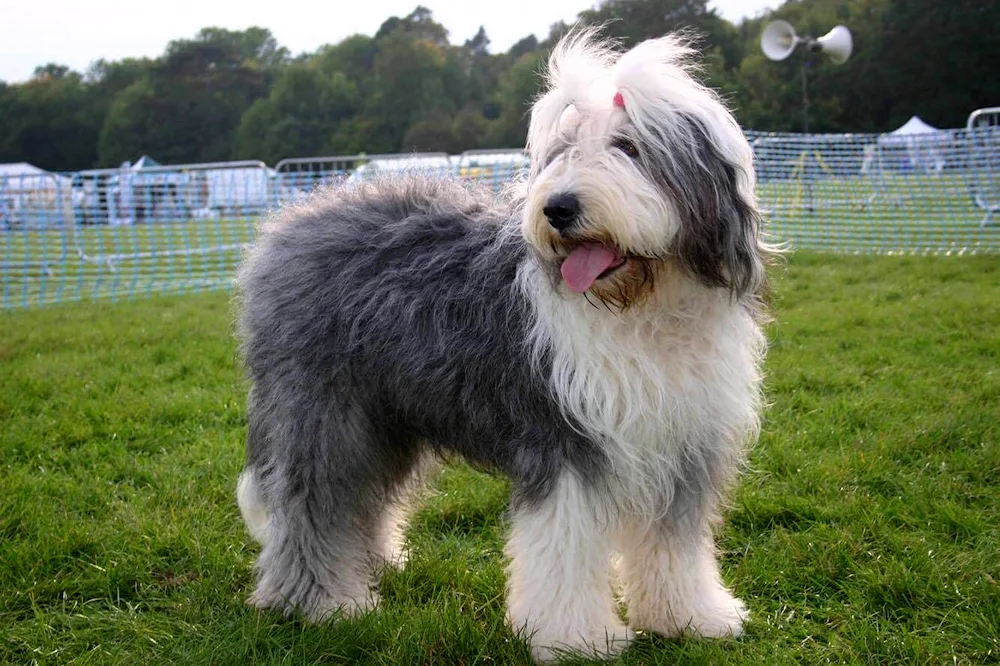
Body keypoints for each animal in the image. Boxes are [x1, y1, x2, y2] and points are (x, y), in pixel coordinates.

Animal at [234, 29, 772, 660]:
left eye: (630, 147)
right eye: (562, 151)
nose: (558, 208)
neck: (642, 306)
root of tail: (291, 222)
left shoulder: (683, 440)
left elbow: (674, 545)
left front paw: (690, 617)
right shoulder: (565, 441)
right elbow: (564, 547)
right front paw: (577, 639)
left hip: (386, 413)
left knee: (363, 497)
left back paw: (376, 564)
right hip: (323, 408)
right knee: (312, 500)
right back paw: (320, 603)